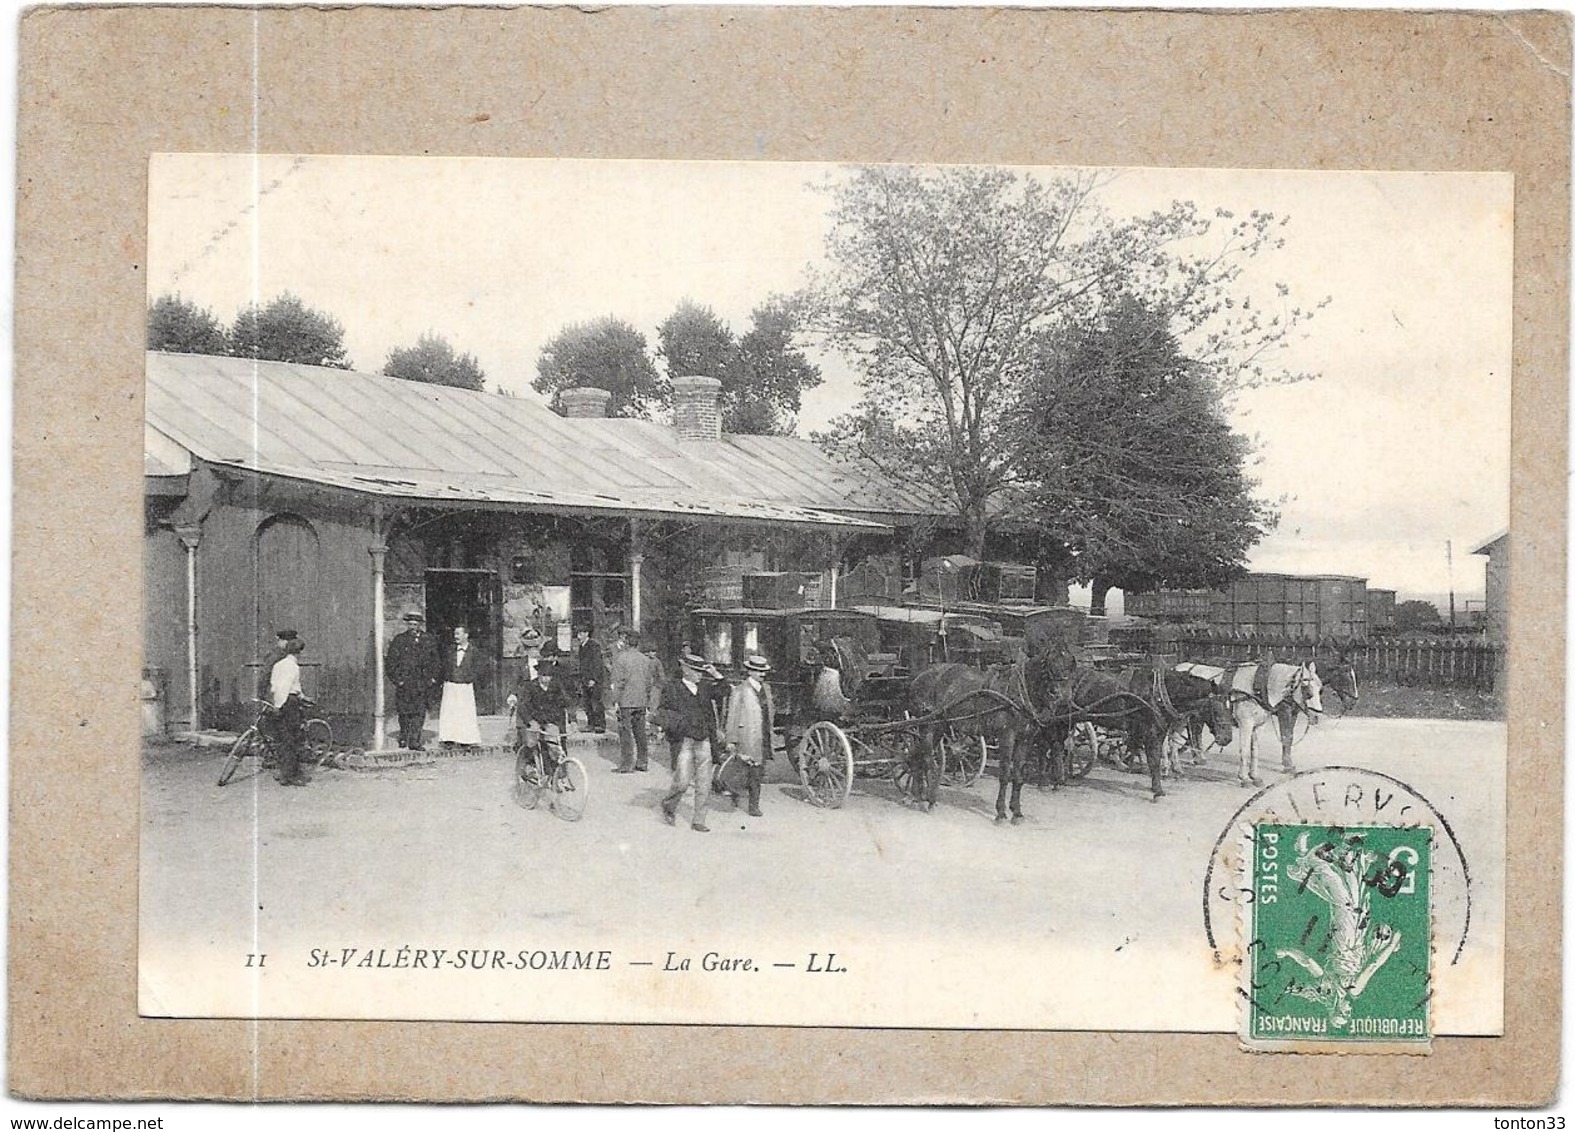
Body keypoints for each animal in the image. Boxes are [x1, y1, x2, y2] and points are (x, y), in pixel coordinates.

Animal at [907, 651, 1077, 824]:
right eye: (1050, 666)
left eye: (1071, 668)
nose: (1063, 695)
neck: (1019, 693)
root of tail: (920, 676)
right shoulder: (1006, 736)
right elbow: (1005, 775)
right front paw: (1001, 813)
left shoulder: (1025, 739)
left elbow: (1018, 776)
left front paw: (1017, 813)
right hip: (928, 725)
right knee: (927, 760)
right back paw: (930, 800)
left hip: (940, 726)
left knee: (917, 756)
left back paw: (917, 797)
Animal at [1178, 664, 1323, 787]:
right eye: (1307, 690)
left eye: (1320, 689)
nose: (1317, 716)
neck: (1258, 689)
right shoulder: (1247, 724)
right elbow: (1245, 750)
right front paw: (1244, 778)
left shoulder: (1259, 726)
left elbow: (1255, 750)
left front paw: (1255, 777)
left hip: (1198, 717)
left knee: (1195, 732)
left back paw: (1198, 758)